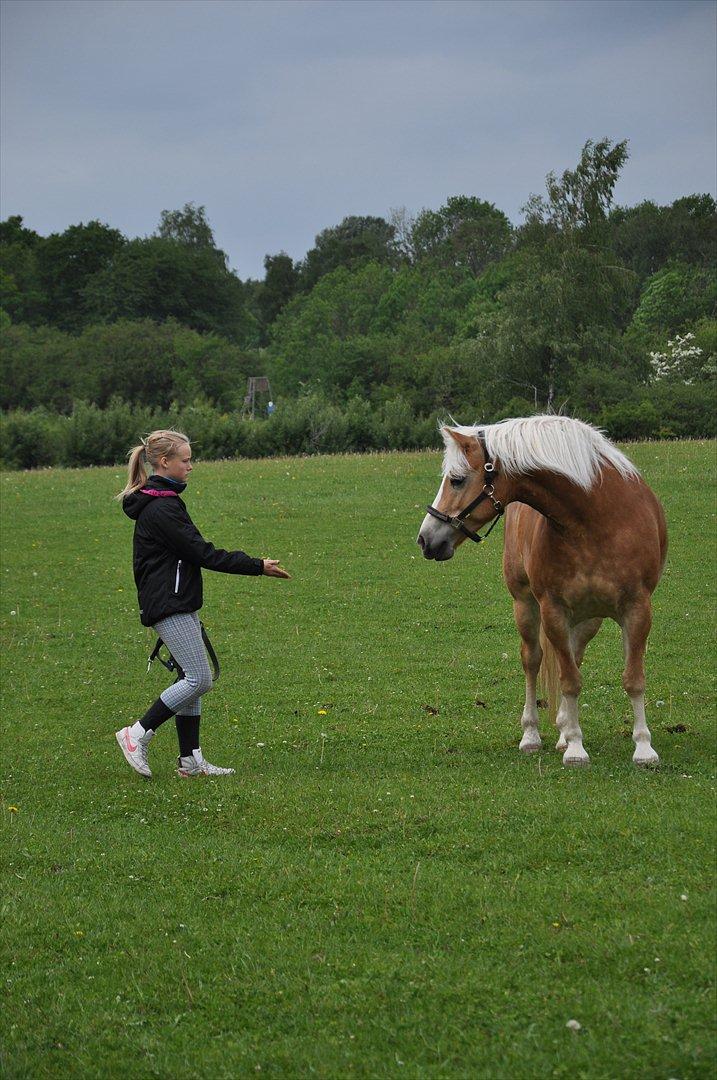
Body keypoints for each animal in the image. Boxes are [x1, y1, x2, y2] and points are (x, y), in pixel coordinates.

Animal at [416, 414, 669, 768]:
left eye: (456, 480)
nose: (425, 539)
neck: (596, 519)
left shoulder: (637, 609)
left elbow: (633, 678)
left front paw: (644, 748)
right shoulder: (553, 611)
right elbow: (569, 680)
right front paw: (576, 747)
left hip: (589, 618)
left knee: (574, 655)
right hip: (525, 606)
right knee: (533, 660)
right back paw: (533, 735)